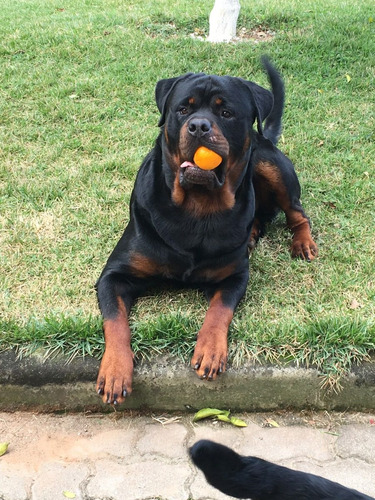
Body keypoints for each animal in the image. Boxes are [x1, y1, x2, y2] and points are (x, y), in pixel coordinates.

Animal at [95, 56, 318, 404]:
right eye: (182, 109)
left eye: (226, 113)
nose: (199, 126)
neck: (197, 209)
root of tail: (266, 138)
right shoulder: (113, 275)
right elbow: (115, 321)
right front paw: (116, 370)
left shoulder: (235, 276)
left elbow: (219, 309)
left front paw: (210, 349)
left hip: (269, 163)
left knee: (296, 210)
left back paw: (303, 242)